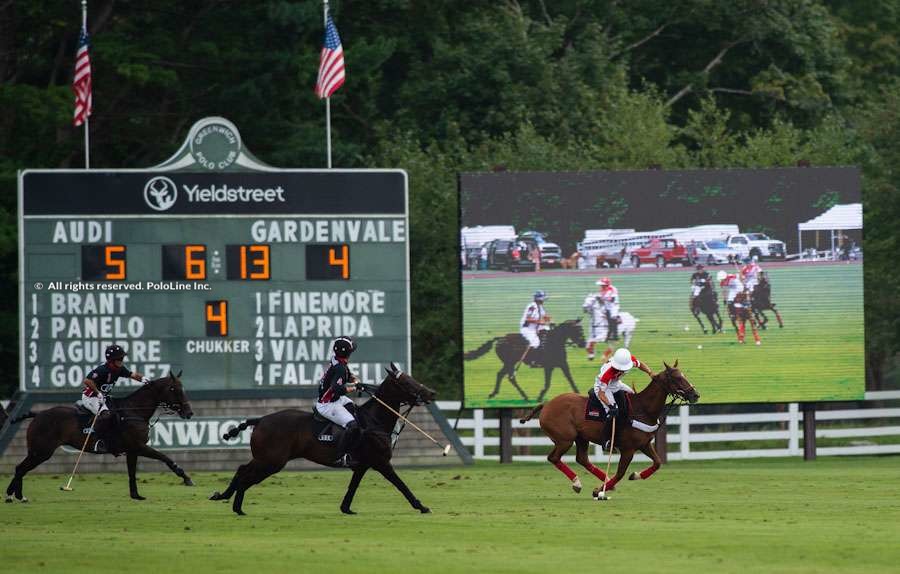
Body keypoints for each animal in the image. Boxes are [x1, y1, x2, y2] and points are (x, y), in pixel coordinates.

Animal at [4, 374, 193, 504]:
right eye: (174, 389)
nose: (189, 413)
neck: (134, 411)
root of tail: (38, 414)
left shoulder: (132, 450)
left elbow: (132, 473)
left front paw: (136, 495)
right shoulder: (139, 446)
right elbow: (165, 457)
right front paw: (185, 477)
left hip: (37, 451)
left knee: (20, 468)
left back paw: (15, 496)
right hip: (41, 451)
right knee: (21, 468)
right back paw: (14, 496)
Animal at [211, 366, 436, 520]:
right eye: (406, 381)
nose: (431, 393)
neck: (375, 421)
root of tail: (259, 420)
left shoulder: (362, 465)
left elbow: (352, 488)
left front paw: (346, 509)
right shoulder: (381, 463)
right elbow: (401, 484)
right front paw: (422, 506)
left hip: (264, 458)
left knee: (242, 469)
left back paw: (227, 498)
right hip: (272, 461)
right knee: (246, 475)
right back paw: (236, 505)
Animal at [516, 364, 700, 500]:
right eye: (677, 378)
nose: (695, 394)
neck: (642, 409)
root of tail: (546, 404)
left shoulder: (644, 444)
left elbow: (657, 463)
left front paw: (635, 475)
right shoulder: (628, 449)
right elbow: (620, 472)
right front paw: (598, 491)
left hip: (581, 438)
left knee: (582, 458)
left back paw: (603, 481)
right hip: (565, 439)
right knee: (554, 458)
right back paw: (579, 483)